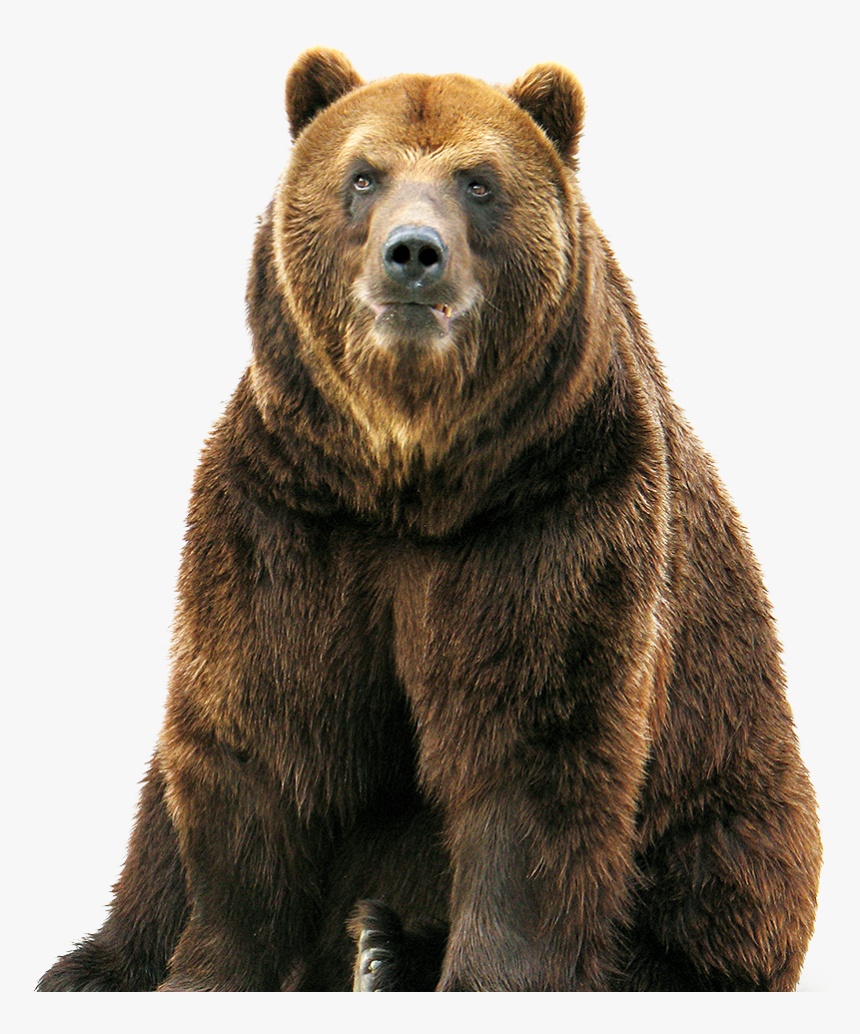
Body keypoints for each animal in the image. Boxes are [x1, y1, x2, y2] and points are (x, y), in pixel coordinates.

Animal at [38, 47, 821, 992]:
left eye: (478, 181)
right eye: (363, 175)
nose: (414, 253)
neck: (412, 476)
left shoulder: (553, 511)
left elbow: (532, 746)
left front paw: (483, 975)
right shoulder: (290, 510)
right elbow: (261, 723)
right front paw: (207, 971)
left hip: (732, 777)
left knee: (726, 873)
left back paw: (402, 948)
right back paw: (105, 963)